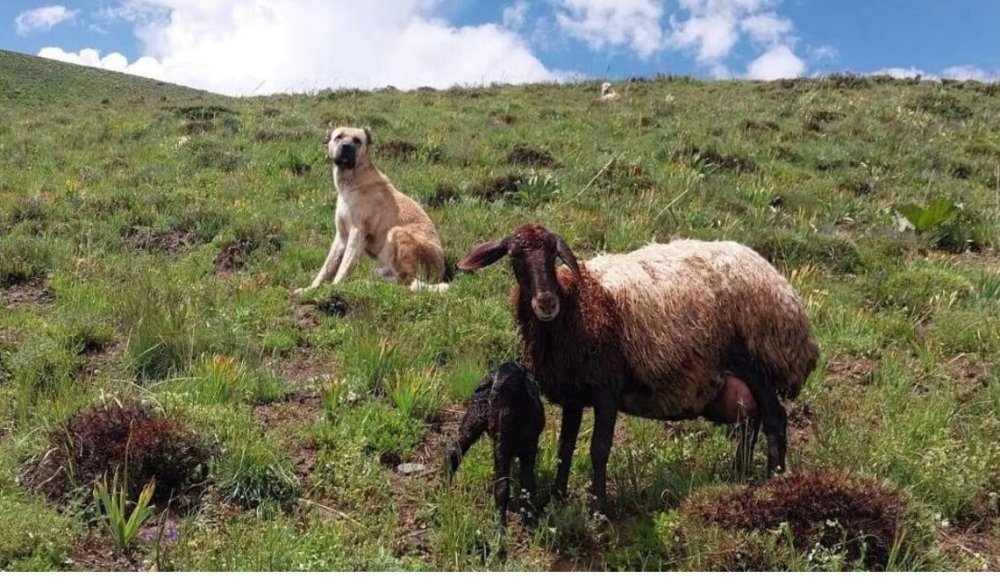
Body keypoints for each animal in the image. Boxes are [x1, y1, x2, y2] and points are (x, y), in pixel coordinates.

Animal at [294, 124, 448, 290]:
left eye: (357, 140)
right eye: (339, 137)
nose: (346, 146)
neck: (352, 181)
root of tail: (440, 272)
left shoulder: (358, 233)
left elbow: (343, 267)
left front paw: (335, 287)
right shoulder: (341, 236)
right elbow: (326, 268)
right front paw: (310, 289)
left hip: (396, 232)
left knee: (407, 281)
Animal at [448, 362, 544, 524]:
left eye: (512, 380)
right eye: (494, 380)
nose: (493, 397)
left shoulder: (530, 449)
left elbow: (528, 485)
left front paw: (530, 520)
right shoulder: (501, 448)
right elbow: (501, 487)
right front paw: (500, 525)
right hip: (473, 418)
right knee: (454, 449)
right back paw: (444, 482)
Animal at [458, 223, 816, 510]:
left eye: (552, 256)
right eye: (515, 259)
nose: (546, 302)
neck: (577, 303)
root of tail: (785, 291)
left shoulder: (606, 388)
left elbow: (599, 449)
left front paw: (599, 509)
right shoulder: (574, 394)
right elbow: (565, 447)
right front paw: (558, 499)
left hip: (759, 361)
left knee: (774, 419)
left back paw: (774, 483)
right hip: (732, 381)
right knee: (748, 421)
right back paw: (739, 475)